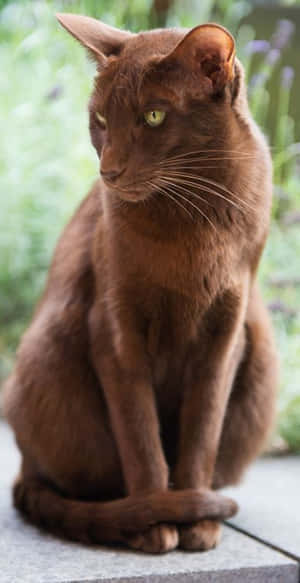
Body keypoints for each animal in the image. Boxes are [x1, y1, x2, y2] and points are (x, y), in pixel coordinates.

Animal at [2, 11, 278, 556]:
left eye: (153, 116)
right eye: (101, 120)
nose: (108, 171)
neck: (195, 216)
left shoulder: (227, 330)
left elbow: (202, 434)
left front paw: (198, 525)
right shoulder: (114, 329)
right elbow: (141, 439)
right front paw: (156, 522)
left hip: (261, 353)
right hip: (45, 351)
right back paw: (130, 514)